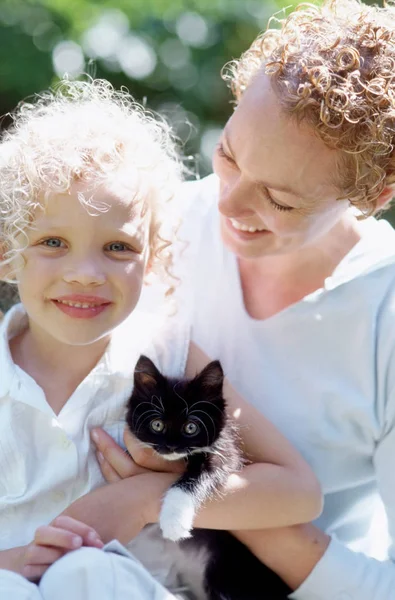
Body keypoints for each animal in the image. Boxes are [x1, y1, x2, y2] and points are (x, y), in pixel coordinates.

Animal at [125, 356, 292, 600]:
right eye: (157, 424)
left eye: (190, 427)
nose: (171, 446)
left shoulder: (226, 453)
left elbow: (198, 476)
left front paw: (174, 519)